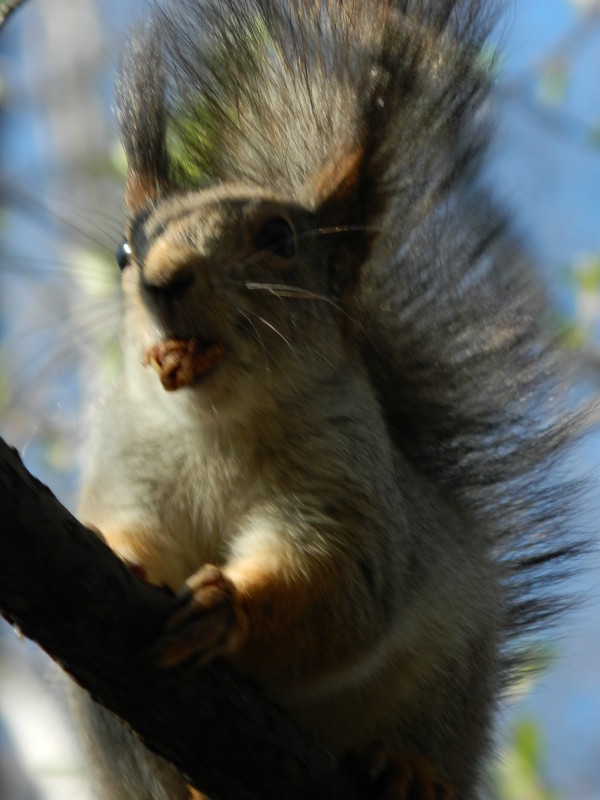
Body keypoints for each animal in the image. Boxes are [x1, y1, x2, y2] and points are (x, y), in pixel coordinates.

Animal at [64, 0, 584, 796]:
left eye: (279, 237)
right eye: (124, 251)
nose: (161, 281)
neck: (212, 424)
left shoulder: (345, 479)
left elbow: (338, 586)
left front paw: (226, 607)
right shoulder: (124, 460)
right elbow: (123, 522)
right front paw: (120, 551)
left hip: (445, 688)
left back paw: (406, 768)